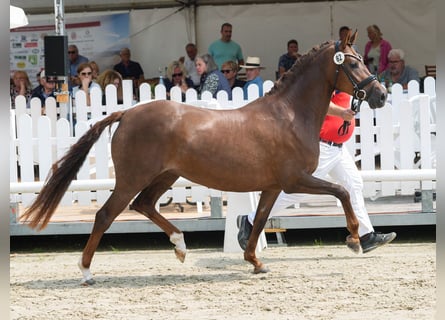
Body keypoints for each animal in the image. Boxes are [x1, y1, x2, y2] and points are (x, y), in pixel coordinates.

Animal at [21, 30, 386, 284]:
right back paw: (86, 272)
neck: (290, 115)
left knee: (144, 205)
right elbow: (342, 192)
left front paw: (256, 262)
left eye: (361, 59)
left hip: (164, 175)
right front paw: (355, 239)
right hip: (132, 178)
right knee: (106, 215)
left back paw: (180, 246)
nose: (380, 95)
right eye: (352, 62)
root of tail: (127, 113)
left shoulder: (272, 186)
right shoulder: (296, 180)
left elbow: (259, 221)